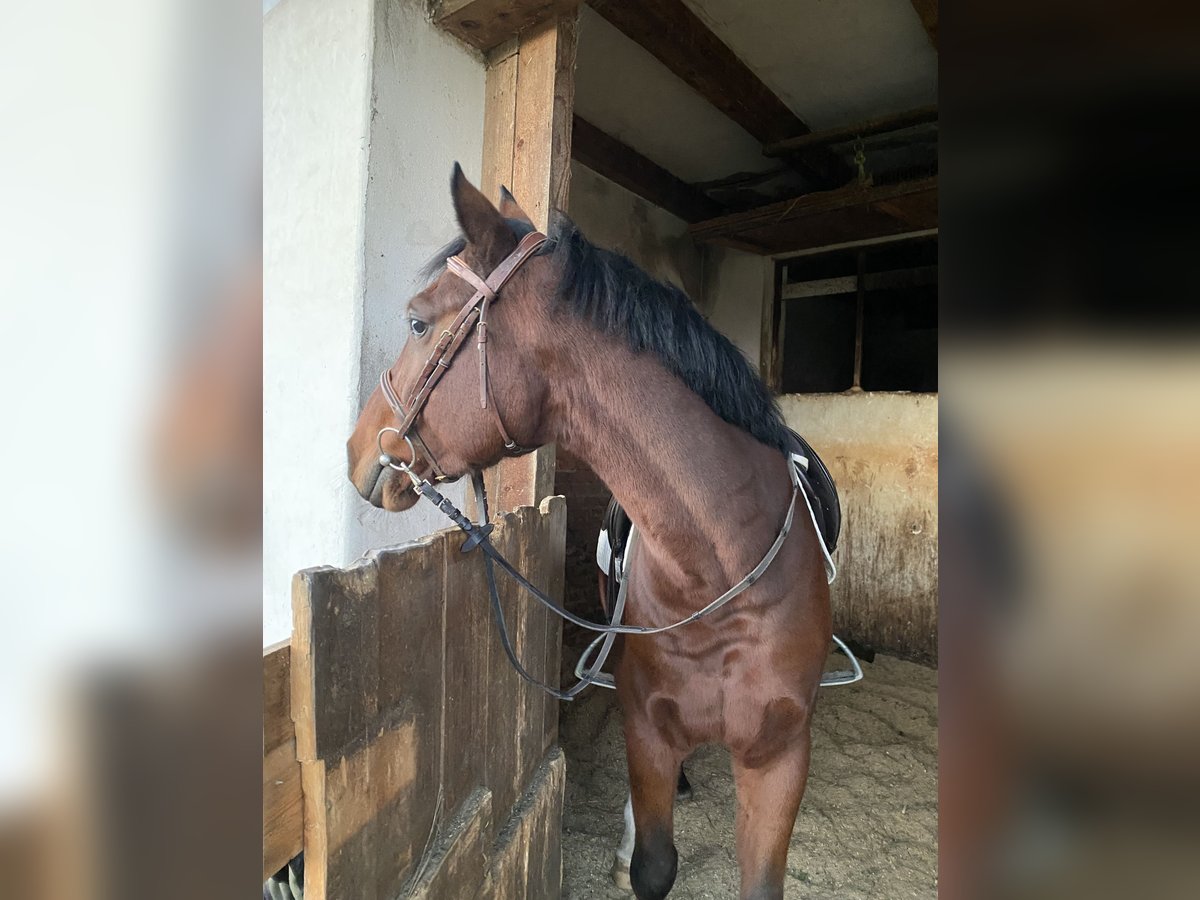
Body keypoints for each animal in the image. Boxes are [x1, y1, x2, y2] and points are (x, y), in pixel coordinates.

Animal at [348, 165, 830, 897]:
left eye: (417, 321)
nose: (357, 450)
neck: (724, 572)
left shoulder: (780, 756)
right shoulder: (649, 731)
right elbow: (653, 865)